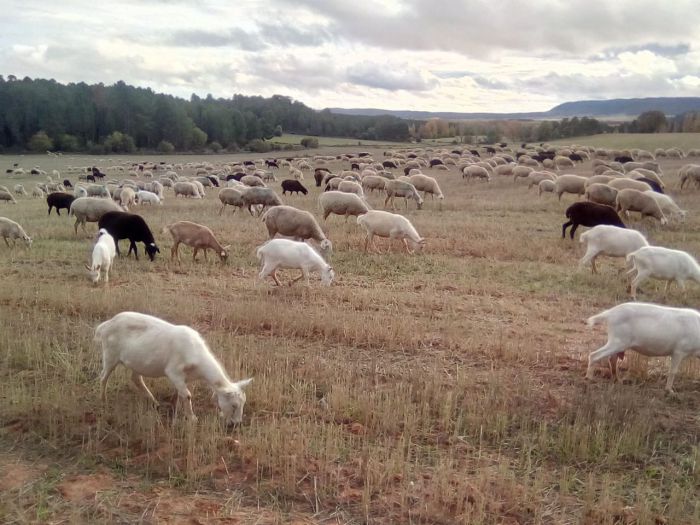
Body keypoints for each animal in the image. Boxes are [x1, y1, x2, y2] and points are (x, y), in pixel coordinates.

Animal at [94, 310, 253, 424]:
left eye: (243, 404)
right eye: (234, 405)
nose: (237, 423)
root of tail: (106, 324)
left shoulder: (184, 378)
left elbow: (180, 394)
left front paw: (177, 408)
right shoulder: (173, 371)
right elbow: (187, 395)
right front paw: (192, 418)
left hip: (136, 362)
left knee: (135, 378)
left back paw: (154, 402)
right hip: (110, 355)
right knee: (103, 377)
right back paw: (103, 399)